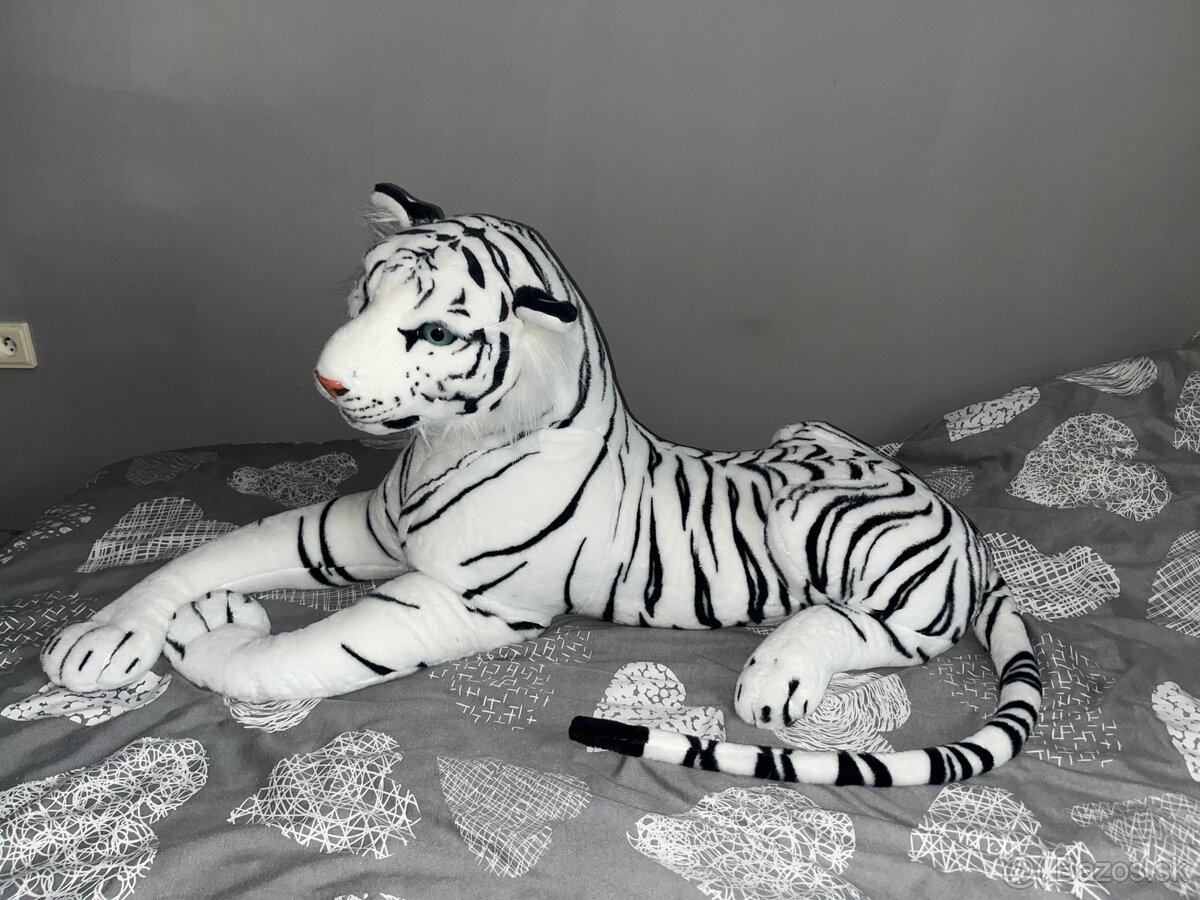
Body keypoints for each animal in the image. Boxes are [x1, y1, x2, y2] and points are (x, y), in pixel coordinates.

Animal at [41, 183, 1042, 787]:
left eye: (434, 333)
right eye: (363, 294)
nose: (324, 380)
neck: (441, 445)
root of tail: (966, 527)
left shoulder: (463, 603)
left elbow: (296, 656)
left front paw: (215, 634)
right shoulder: (354, 530)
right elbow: (209, 553)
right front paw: (97, 640)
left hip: (833, 532)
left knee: (881, 629)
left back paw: (778, 674)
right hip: (799, 432)